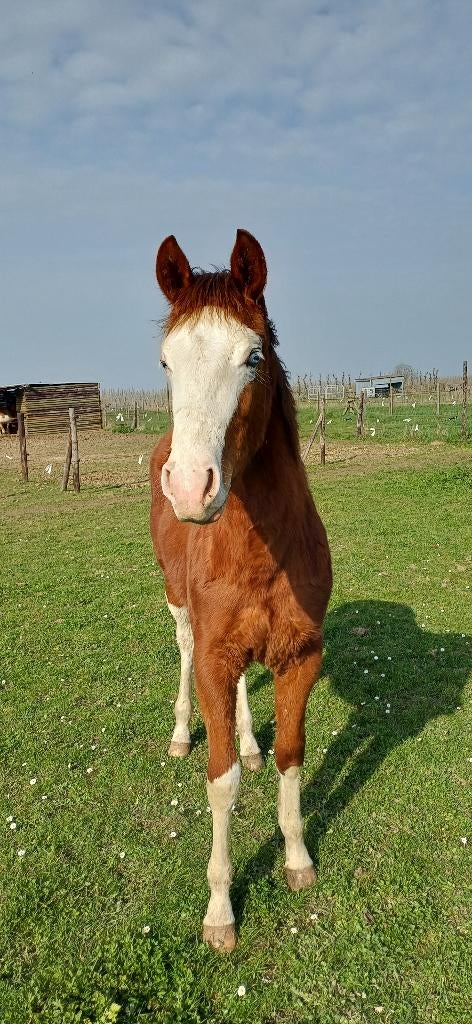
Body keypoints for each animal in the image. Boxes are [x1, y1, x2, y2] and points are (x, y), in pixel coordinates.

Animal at [150, 229, 332, 951]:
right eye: (167, 363)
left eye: (252, 357)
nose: (190, 486)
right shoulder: (213, 656)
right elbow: (220, 781)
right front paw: (221, 910)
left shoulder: (300, 655)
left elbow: (290, 755)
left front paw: (298, 859)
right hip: (179, 609)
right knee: (180, 649)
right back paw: (179, 732)